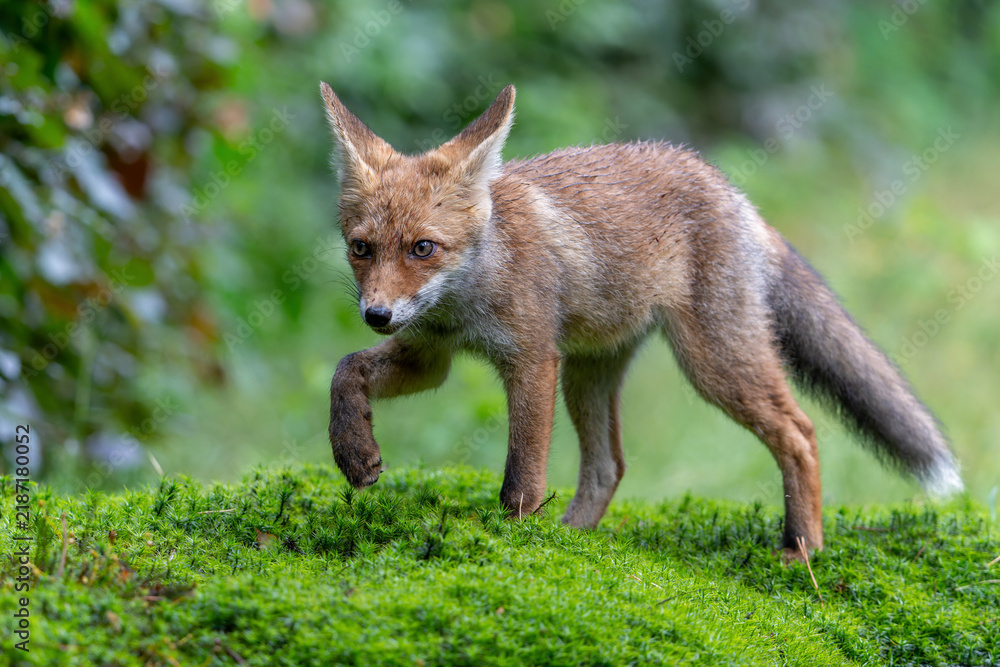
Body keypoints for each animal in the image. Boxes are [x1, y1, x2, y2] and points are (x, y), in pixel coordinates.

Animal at [320, 82, 962, 560]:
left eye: (423, 248)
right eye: (361, 249)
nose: (376, 313)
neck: (467, 297)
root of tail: (731, 191)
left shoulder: (532, 359)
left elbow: (522, 479)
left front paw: (513, 542)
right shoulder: (428, 354)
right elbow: (345, 370)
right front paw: (354, 453)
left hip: (711, 364)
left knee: (800, 433)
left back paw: (801, 549)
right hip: (589, 374)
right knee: (610, 468)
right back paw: (571, 539)